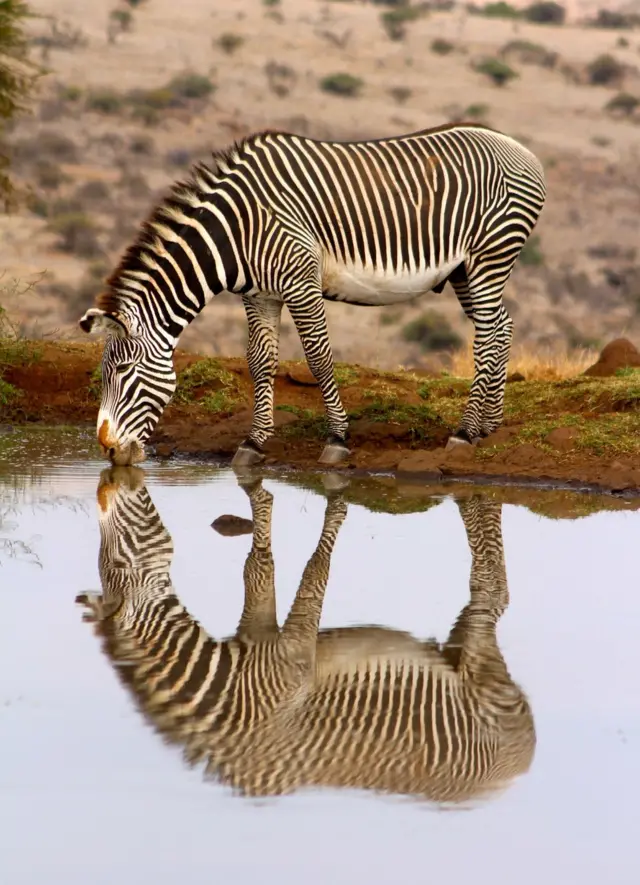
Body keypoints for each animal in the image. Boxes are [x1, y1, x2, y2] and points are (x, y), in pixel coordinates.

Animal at [77, 123, 546, 467]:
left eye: (123, 372)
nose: (108, 450)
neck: (237, 229)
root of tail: (519, 148)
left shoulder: (301, 283)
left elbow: (319, 359)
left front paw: (337, 439)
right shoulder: (260, 295)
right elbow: (260, 362)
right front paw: (253, 443)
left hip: (490, 256)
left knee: (486, 337)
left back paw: (464, 432)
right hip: (465, 270)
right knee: (501, 327)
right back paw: (490, 426)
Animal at [77, 470, 536, 802]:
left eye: (117, 556)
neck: (231, 690)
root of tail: (519, 767)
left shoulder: (292, 658)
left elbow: (315, 573)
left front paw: (336, 509)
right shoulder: (256, 633)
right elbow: (257, 570)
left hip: (484, 670)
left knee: (492, 602)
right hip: (454, 650)